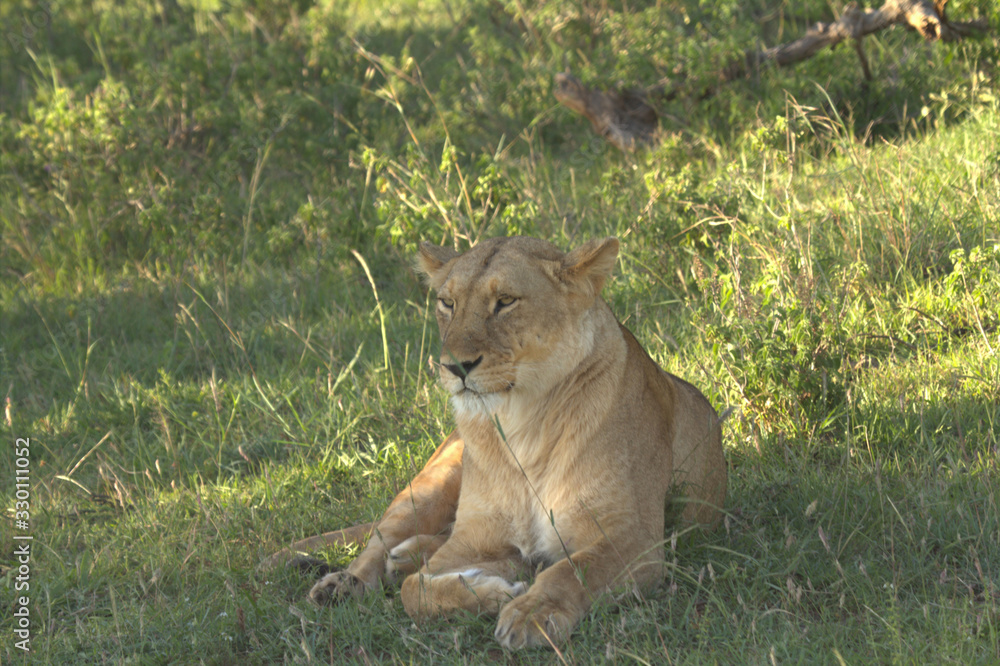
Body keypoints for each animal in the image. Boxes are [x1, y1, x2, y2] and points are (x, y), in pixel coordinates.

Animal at [270, 236, 727, 649]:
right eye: (447, 303)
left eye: (505, 301)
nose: (455, 367)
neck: (522, 424)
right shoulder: (471, 540)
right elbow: (416, 591)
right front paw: (495, 594)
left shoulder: (636, 538)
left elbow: (574, 570)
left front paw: (532, 613)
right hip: (428, 486)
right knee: (380, 542)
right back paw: (345, 583)